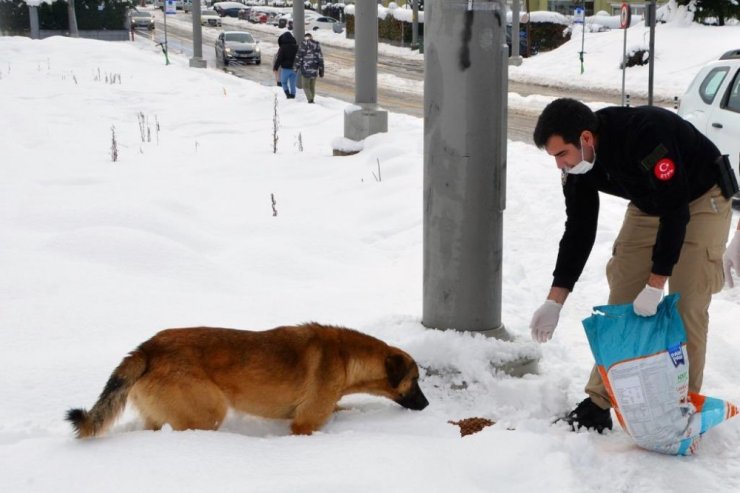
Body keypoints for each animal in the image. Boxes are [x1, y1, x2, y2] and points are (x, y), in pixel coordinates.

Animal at [69, 324, 430, 436]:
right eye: (415, 379)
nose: (427, 405)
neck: (345, 357)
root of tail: (147, 348)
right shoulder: (305, 424)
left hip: (158, 416)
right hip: (208, 412)